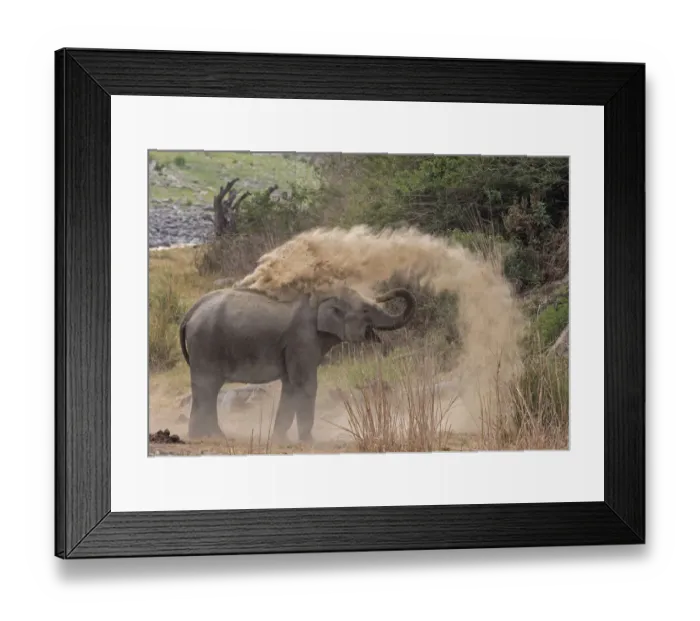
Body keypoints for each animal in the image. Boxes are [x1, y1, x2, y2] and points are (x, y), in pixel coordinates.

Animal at [178, 285, 416, 444]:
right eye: (366, 310)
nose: (385, 294)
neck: (324, 297)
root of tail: (190, 311)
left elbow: (290, 385)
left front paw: (279, 439)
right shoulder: (303, 339)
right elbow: (305, 384)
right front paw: (309, 441)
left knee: (207, 389)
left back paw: (208, 435)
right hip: (206, 343)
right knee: (207, 387)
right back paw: (208, 436)